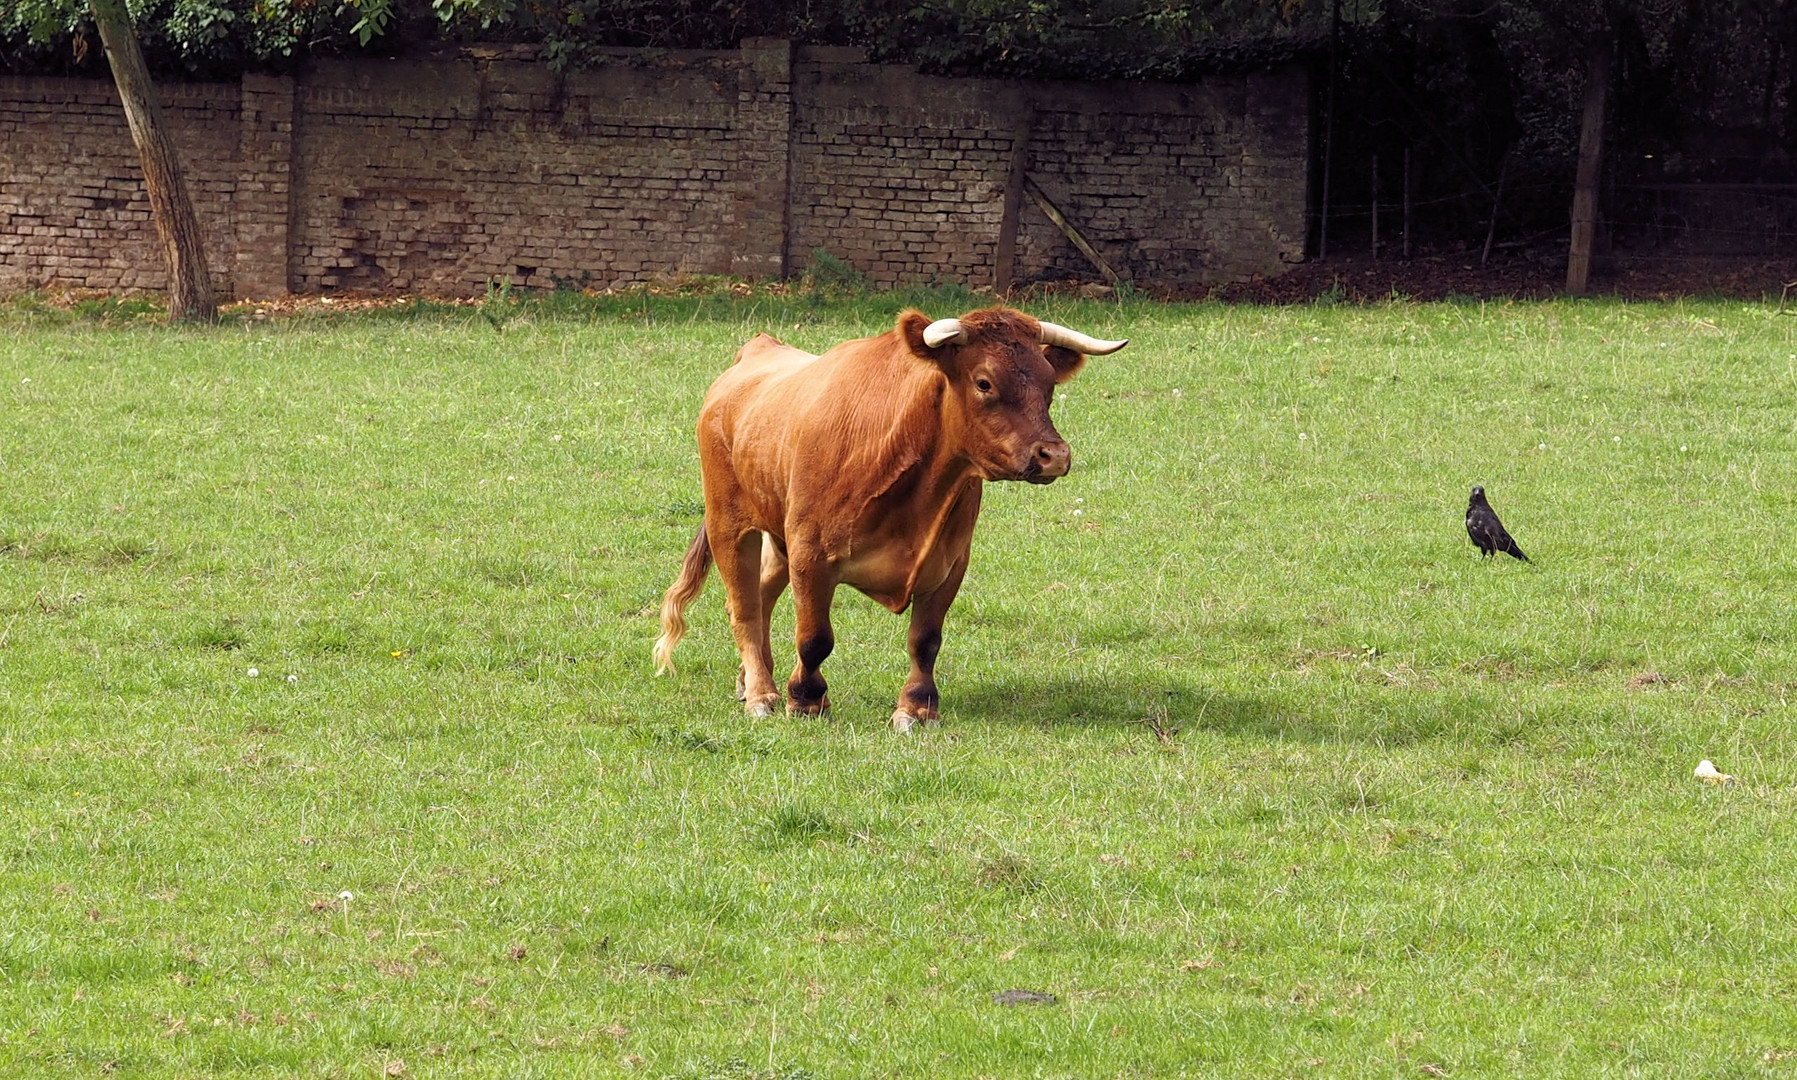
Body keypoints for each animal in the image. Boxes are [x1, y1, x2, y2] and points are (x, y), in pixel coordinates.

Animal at [654, 301, 1128, 733]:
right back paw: (760, 693)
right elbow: (814, 637)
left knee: (763, 593)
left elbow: (926, 640)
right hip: (729, 523)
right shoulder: (811, 552)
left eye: (1049, 384)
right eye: (984, 382)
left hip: (776, 530)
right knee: (745, 605)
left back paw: (748, 680)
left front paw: (916, 708)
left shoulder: (950, 561)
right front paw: (806, 700)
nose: (1054, 455)